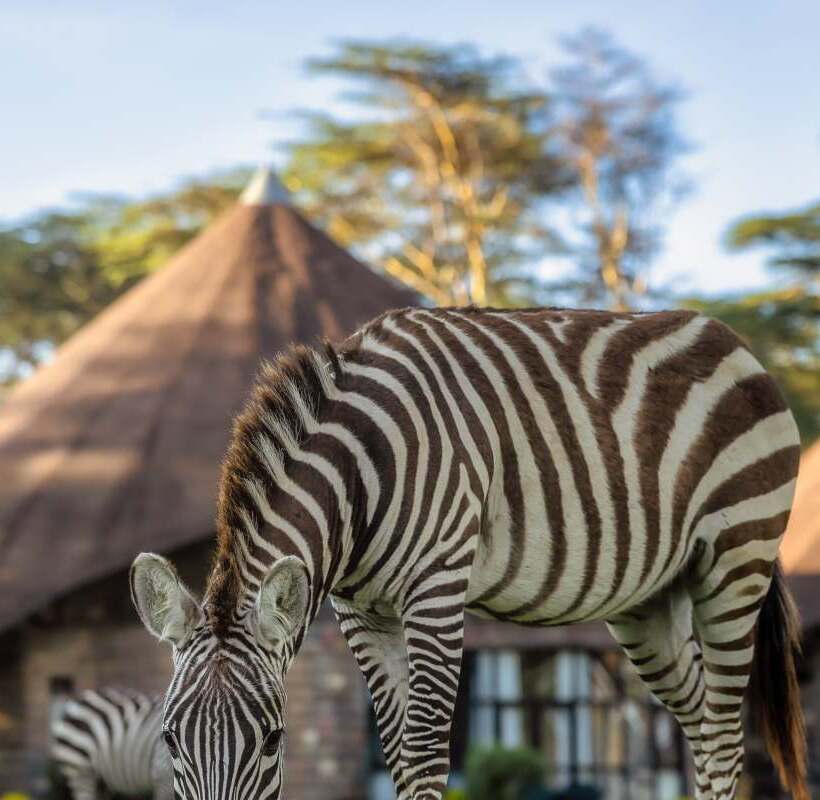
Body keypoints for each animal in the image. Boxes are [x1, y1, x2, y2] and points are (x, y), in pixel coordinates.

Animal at [130, 306, 808, 800]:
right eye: (169, 740)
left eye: (273, 740)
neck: (359, 474)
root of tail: (734, 341)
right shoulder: (361, 613)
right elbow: (399, 756)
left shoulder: (435, 587)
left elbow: (427, 752)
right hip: (650, 602)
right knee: (698, 722)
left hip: (734, 563)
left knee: (723, 736)